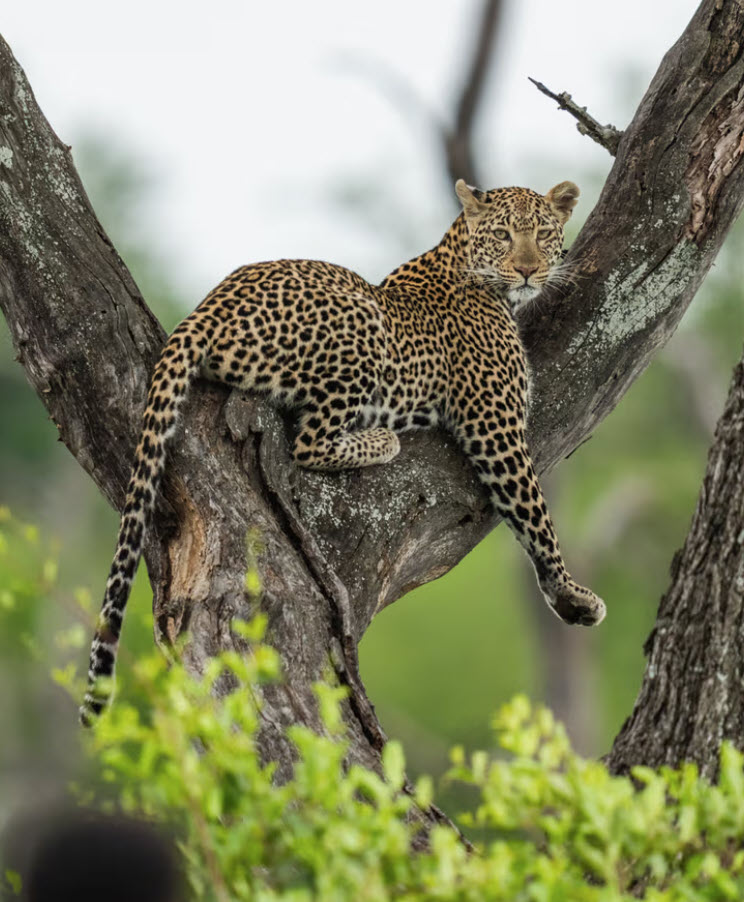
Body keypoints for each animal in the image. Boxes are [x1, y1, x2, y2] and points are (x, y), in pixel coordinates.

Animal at [80, 178, 606, 725]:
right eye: (503, 235)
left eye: (542, 234)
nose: (527, 269)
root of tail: (206, 308)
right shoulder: (496, 427)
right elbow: (536, 516)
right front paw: (573, 596)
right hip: (362, 322)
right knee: (309, 440)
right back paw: (380, 439)